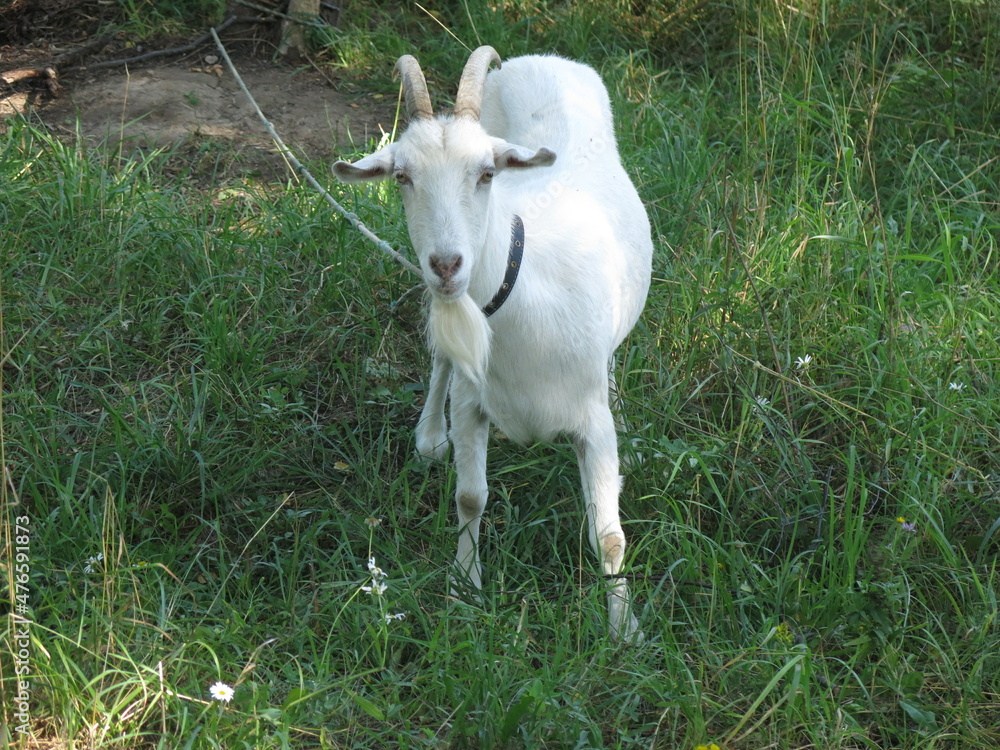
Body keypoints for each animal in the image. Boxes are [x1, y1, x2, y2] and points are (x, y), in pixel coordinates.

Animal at [333, 46, 653, 640]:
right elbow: (470, 497)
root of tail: (540, 57)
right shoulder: (471, 404)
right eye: (402, 176)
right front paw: (465, 592)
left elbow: (608, 534)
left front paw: (624, 631)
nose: (446, 265)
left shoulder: (591, 423)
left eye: (485, 174)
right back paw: (429, 439)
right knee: (441, 357)